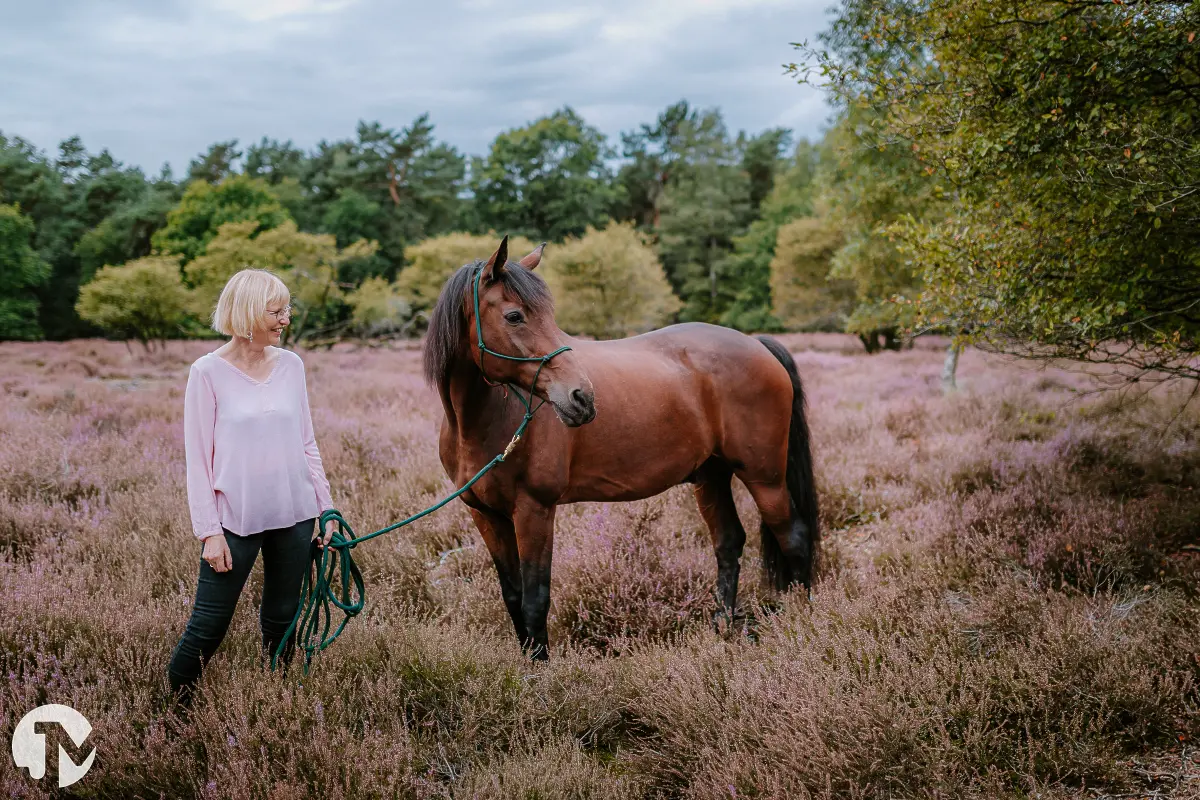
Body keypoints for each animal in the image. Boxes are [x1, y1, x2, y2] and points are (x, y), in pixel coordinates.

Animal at [420, 235, 816, 662]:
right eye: (514, 316)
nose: (582, 397)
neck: (483, 424)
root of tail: (756, 344)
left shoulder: (534, 510)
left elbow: (535, 600)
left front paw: (540, 672)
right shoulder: (486, 516)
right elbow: (512, 597)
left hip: (765, 478)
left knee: (794, 538)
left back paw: (804, 622)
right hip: (711, 477)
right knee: (728, 543)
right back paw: (721, 628)